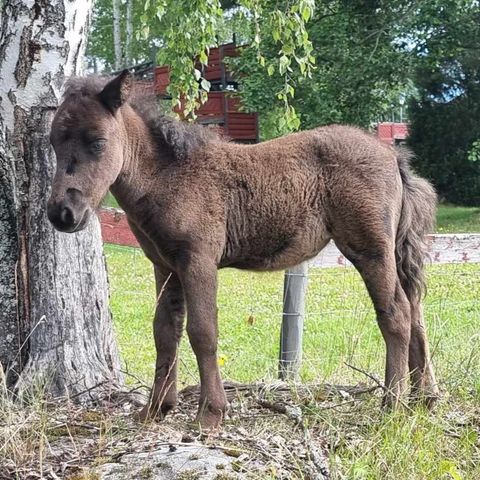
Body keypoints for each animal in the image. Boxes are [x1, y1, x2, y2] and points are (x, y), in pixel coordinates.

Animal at [47, 70, 438, 428]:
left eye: (98, 141)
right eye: (52, 142)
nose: (63, 213)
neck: (168, 177)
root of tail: (392, 155)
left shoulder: (198, 260)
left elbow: (203, 331)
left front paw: (210, 412)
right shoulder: (165, 265)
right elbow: (165, 332)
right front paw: (156, 409)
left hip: (370, 248)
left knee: (397, 313)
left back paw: (392, 406)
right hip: (392, 252)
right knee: (416, 309)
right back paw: (424, 398)